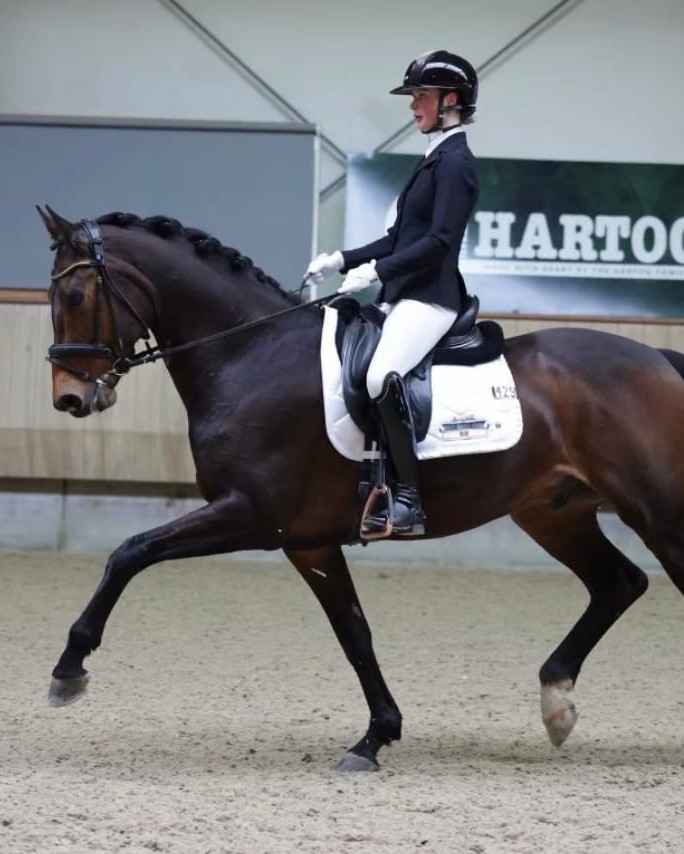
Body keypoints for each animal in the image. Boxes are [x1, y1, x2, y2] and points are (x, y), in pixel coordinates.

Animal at [38, 206, 684, 773]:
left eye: (74, 297)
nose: (69, 397)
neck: (249, 354)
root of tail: (656, 357)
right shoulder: (307, 541)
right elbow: (354, 634)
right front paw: (375, 738)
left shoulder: (250, 514)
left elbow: (131, 552)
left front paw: (69, 667)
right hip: (553, 513)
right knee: (619, 583)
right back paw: (556, 703)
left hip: (657, 510)